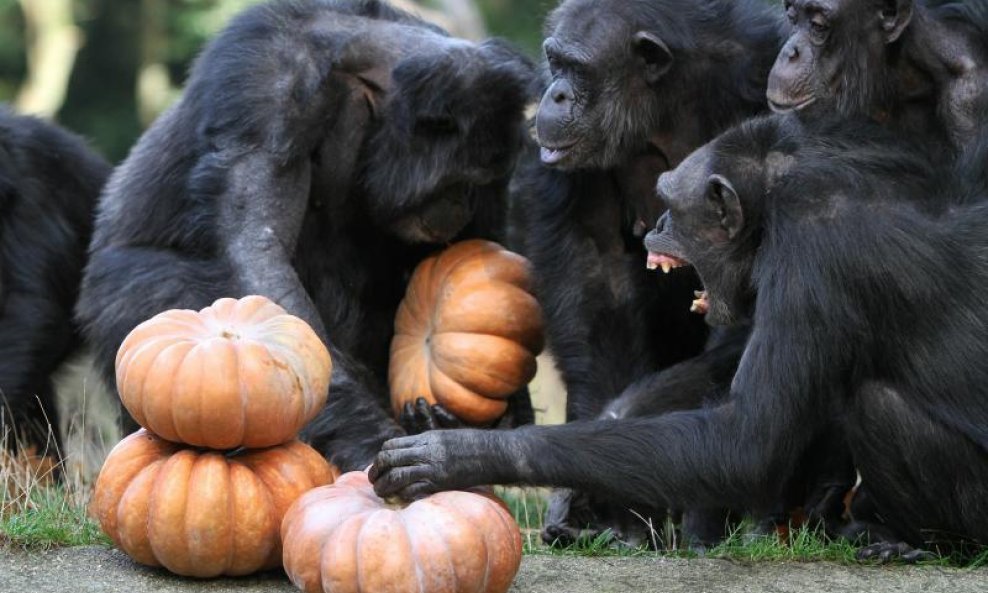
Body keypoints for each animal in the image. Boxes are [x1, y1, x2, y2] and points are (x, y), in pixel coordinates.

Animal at [75, 1, 540, 472]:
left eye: (484, 181)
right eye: (461, 179)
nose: (463, 201)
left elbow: (480, 247)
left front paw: (499, 419)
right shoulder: (266, 85)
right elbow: (259, 249)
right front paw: (372, 440)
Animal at [370, 114, 988, 560]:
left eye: (669, 200)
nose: (659, 225)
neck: (776, 203)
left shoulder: (810, 256)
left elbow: (749, 434)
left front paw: (464, 453)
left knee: (875, 404)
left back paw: (910, 542)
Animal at [506, 0, 824, 544]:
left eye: (578, 70)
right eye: (555, 62)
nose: (555, 92)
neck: (664, 106)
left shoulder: (768, 84)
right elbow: (598, 276)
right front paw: (601, 498)